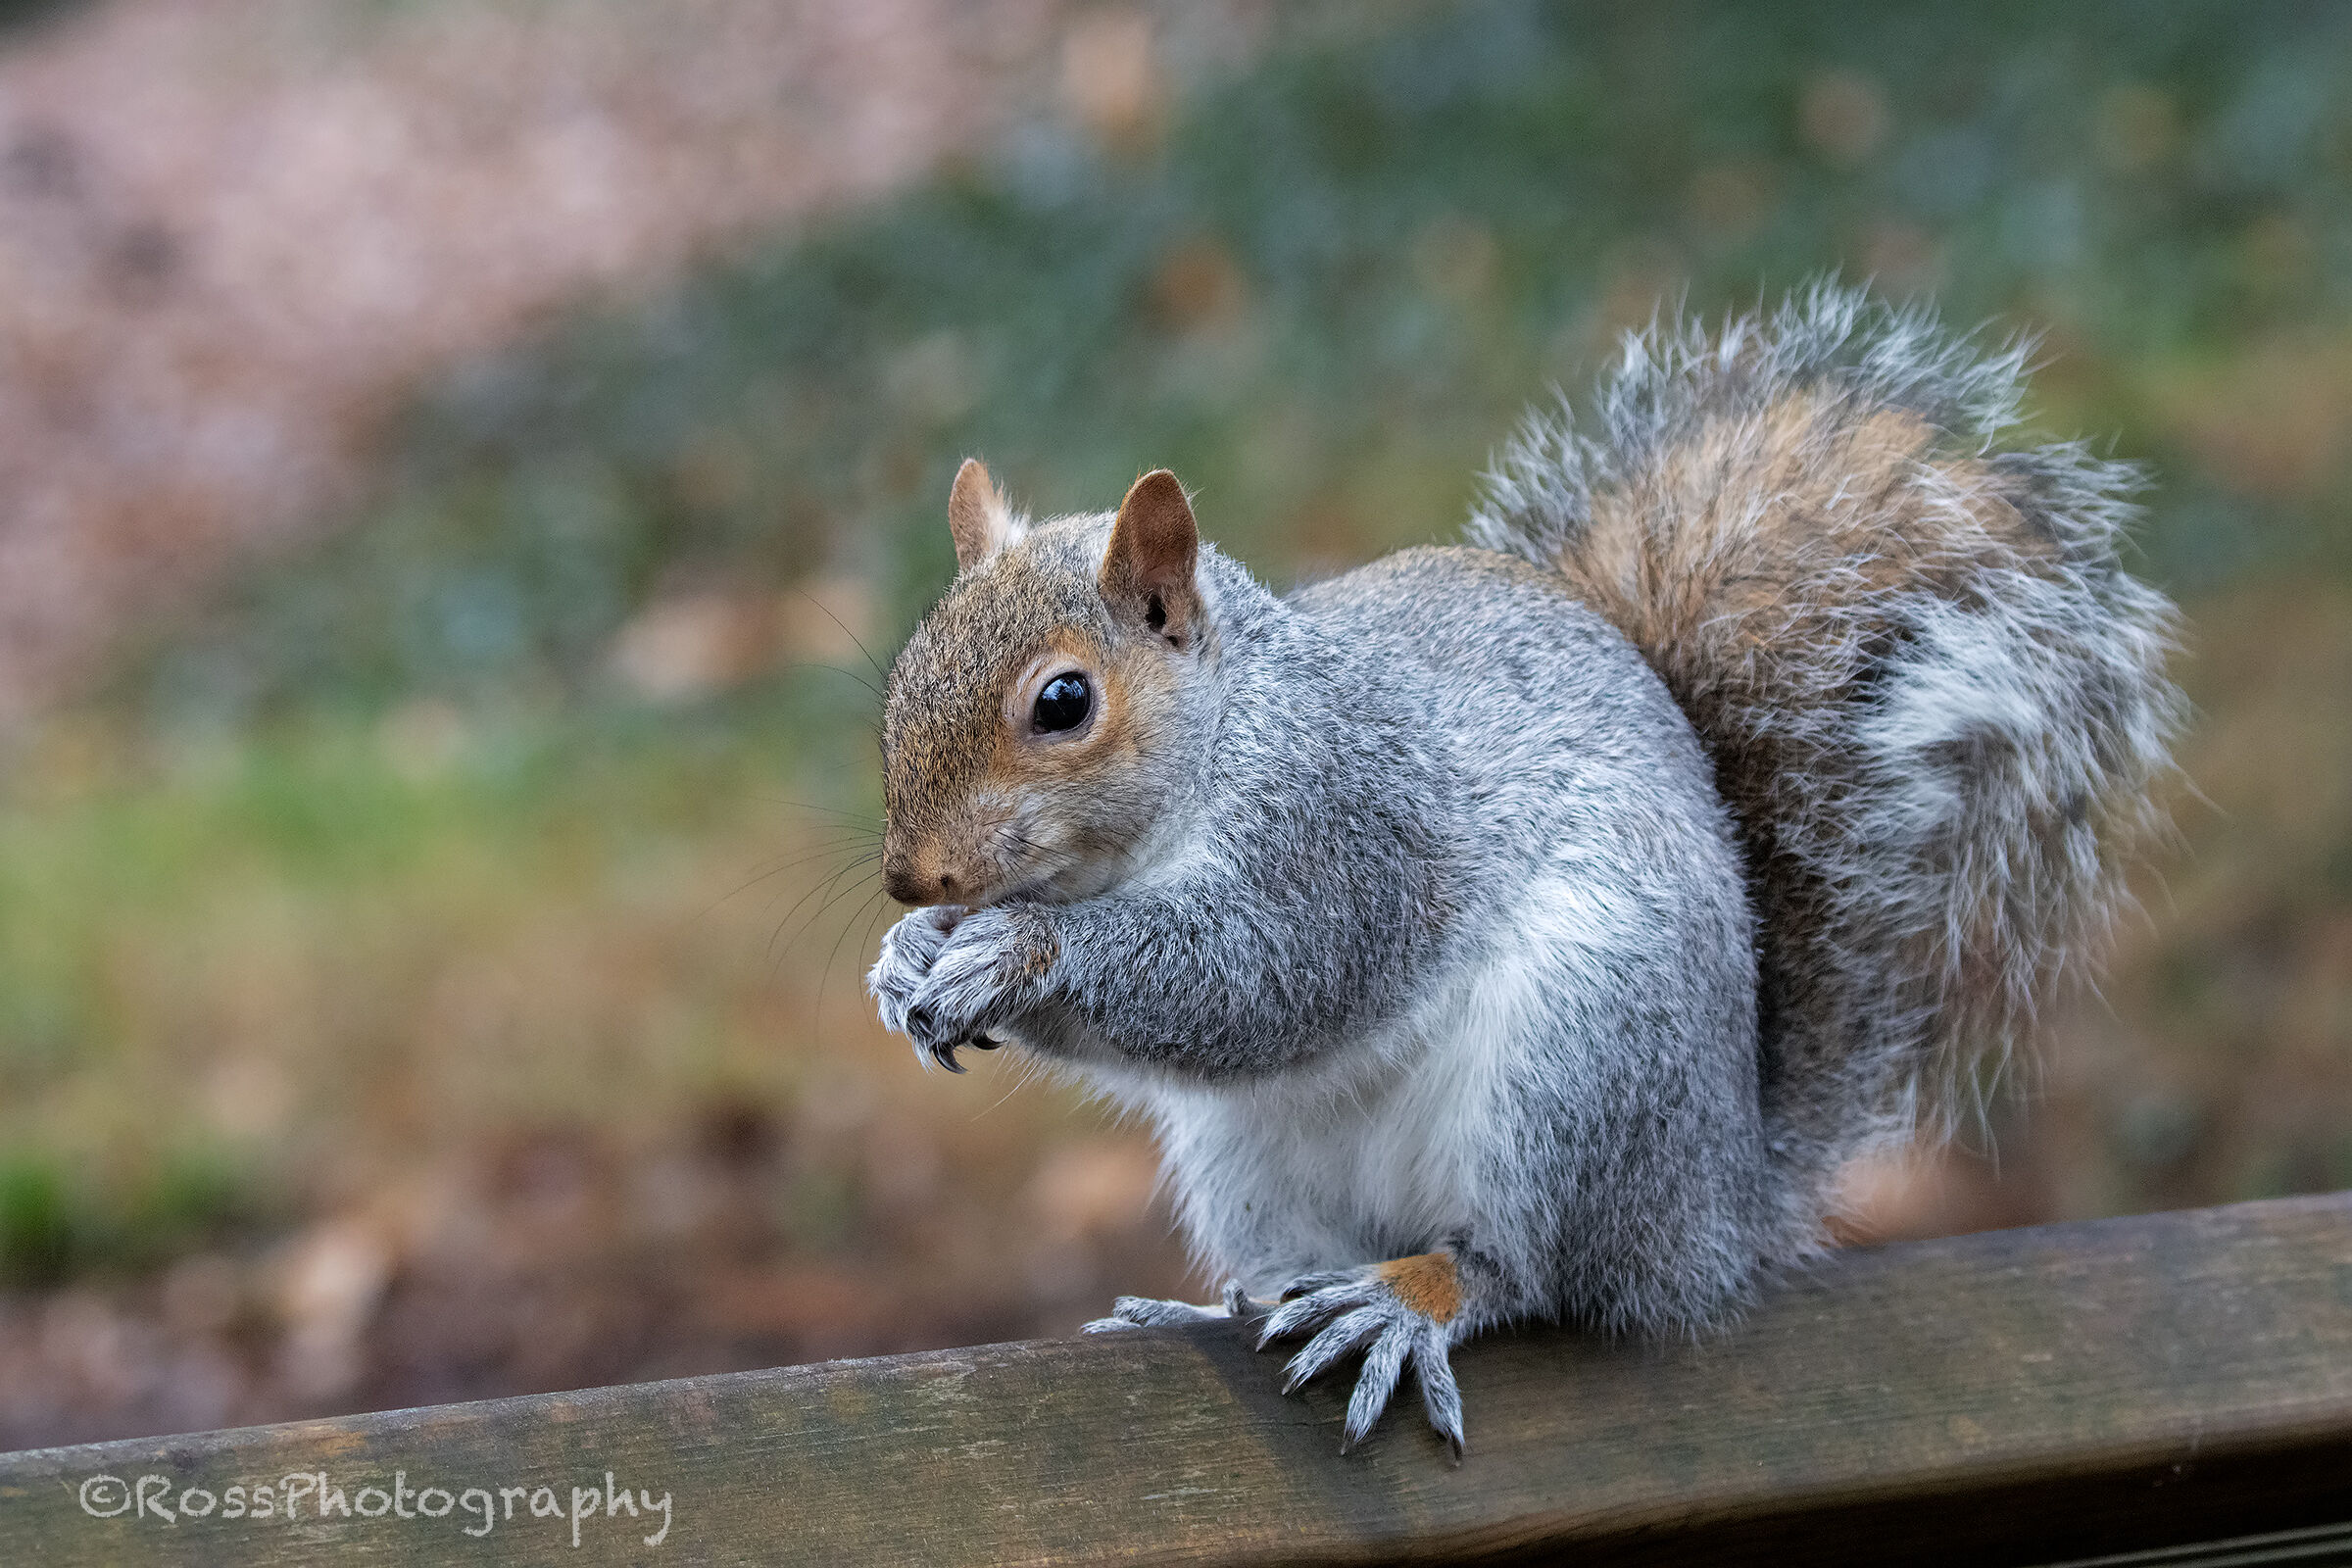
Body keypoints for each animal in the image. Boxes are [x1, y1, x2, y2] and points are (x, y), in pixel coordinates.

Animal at [865, 286, 2182, 1457]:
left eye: (1064, 702)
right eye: (904, 675)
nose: (910, 880)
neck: (1226, 734)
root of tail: (1713, 1215)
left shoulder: (1353, 828)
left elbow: (1265, 974)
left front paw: (1018, 954)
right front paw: (908, 963)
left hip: (1575, 1064)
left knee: (1526, 1269)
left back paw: (1405, 1301)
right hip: (1250, 1158)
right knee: (1301, 1254)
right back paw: (1222, 1301)